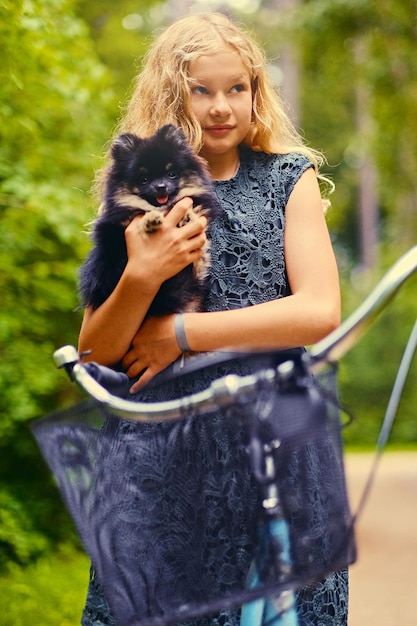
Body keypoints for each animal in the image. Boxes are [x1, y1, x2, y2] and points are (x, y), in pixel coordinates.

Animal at [78, 123, 221, 314]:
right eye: (144, 179)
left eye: (171, 174)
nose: (161, 186)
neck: (162, 208)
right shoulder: (115, 225)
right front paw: (150, 220)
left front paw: (186, 216)